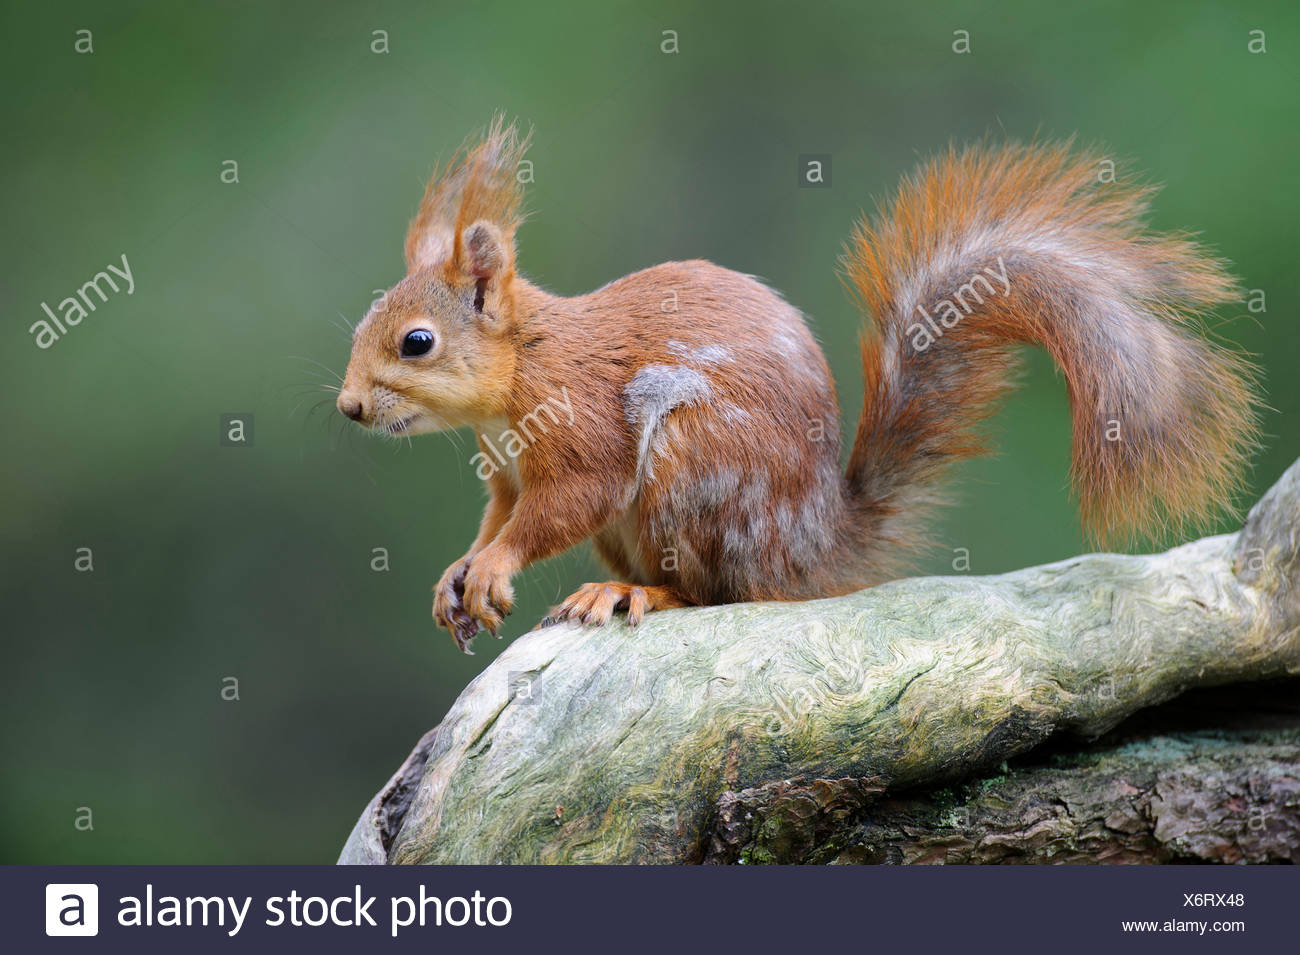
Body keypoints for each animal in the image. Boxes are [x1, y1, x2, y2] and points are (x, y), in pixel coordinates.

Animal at [335, 119, 1258, 654]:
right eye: (362, 326)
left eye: (417, 342)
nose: (349, 407)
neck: (523, 366)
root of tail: (813, 543)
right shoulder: (505, 468)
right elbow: (498, 514)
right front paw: (459, 573)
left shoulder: (579, 427)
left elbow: (561, 505)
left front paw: (493, 567)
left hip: (695, 465)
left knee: (716, 595)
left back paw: (635, 591)